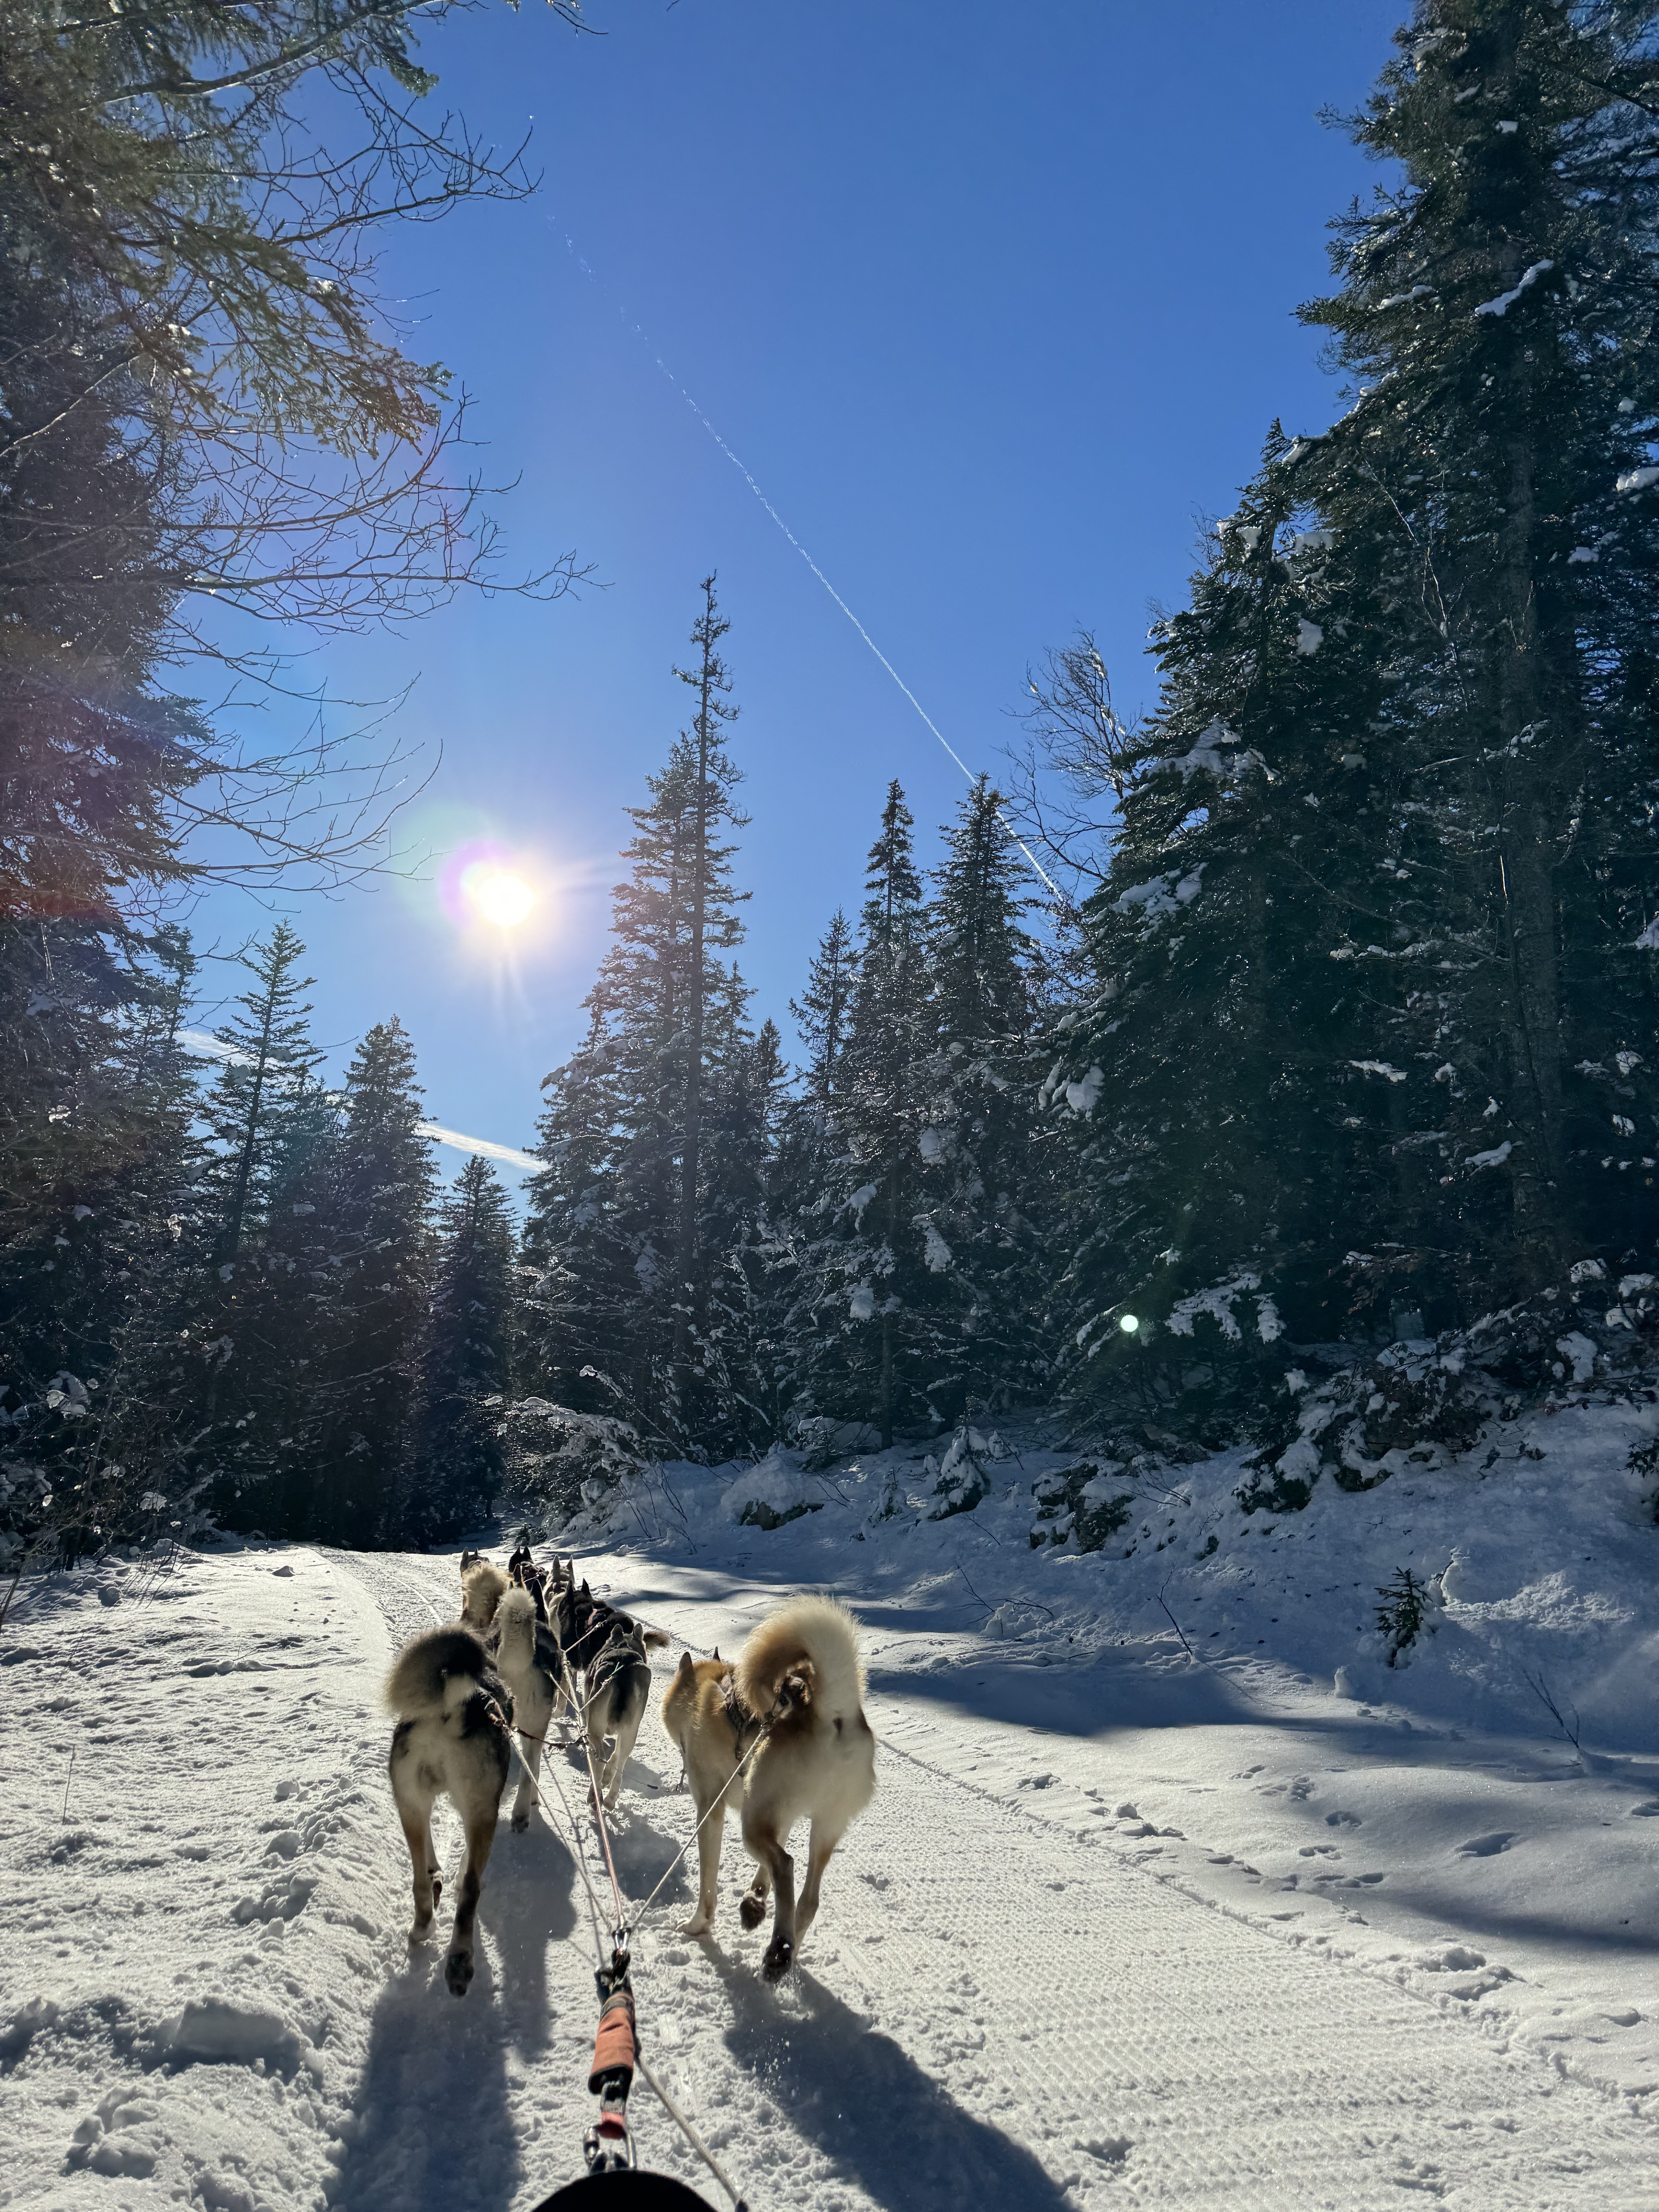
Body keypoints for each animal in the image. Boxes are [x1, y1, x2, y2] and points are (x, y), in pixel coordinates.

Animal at [384, 1626, 513, 1996]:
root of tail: (450, 1711)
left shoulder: (418, 1806)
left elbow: (429, 1862)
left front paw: (437, 1875)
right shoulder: (482, 1813)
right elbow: (467, 1866)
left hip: (409, 1805)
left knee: (418, 1882)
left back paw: (423, 1925)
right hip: (482, 1814)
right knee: (471, 1890)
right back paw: (459, 1961)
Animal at [660, 1594, 876, 1979]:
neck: (707, 1692)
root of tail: (832, 1714)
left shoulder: (711, 1812)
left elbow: (708, 1885)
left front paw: (699, 1924)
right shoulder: (779, 1817)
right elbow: (765, 1876)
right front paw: (756, 1898)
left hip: (752, 1826)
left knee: (786, 1867)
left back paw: (779, 1949)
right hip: (820, 1828)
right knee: (807, 1901)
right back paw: (785, 1951)